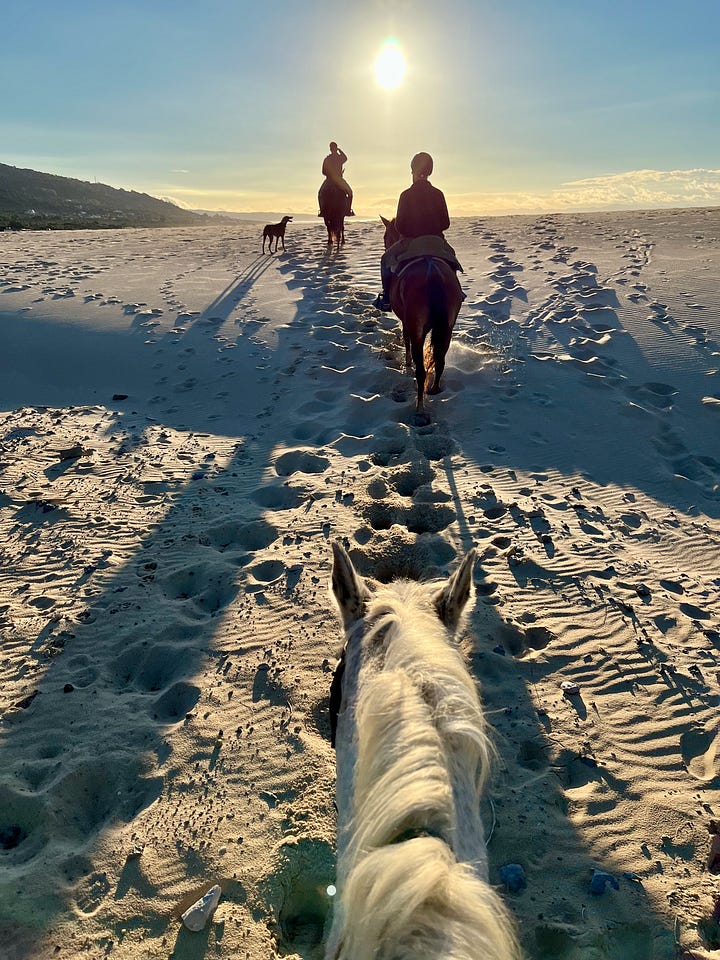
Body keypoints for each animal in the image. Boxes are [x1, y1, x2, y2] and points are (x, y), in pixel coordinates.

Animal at [382, 218, 462, 416]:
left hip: (418, 329)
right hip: (447, 329)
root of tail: (433, 274)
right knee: (440, 361)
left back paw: (419, 407)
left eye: (386, 236)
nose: (386, 244)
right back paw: (434, 390)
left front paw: (407, 362)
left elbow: (405, 339)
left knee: (421, 371)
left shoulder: (406, 322)